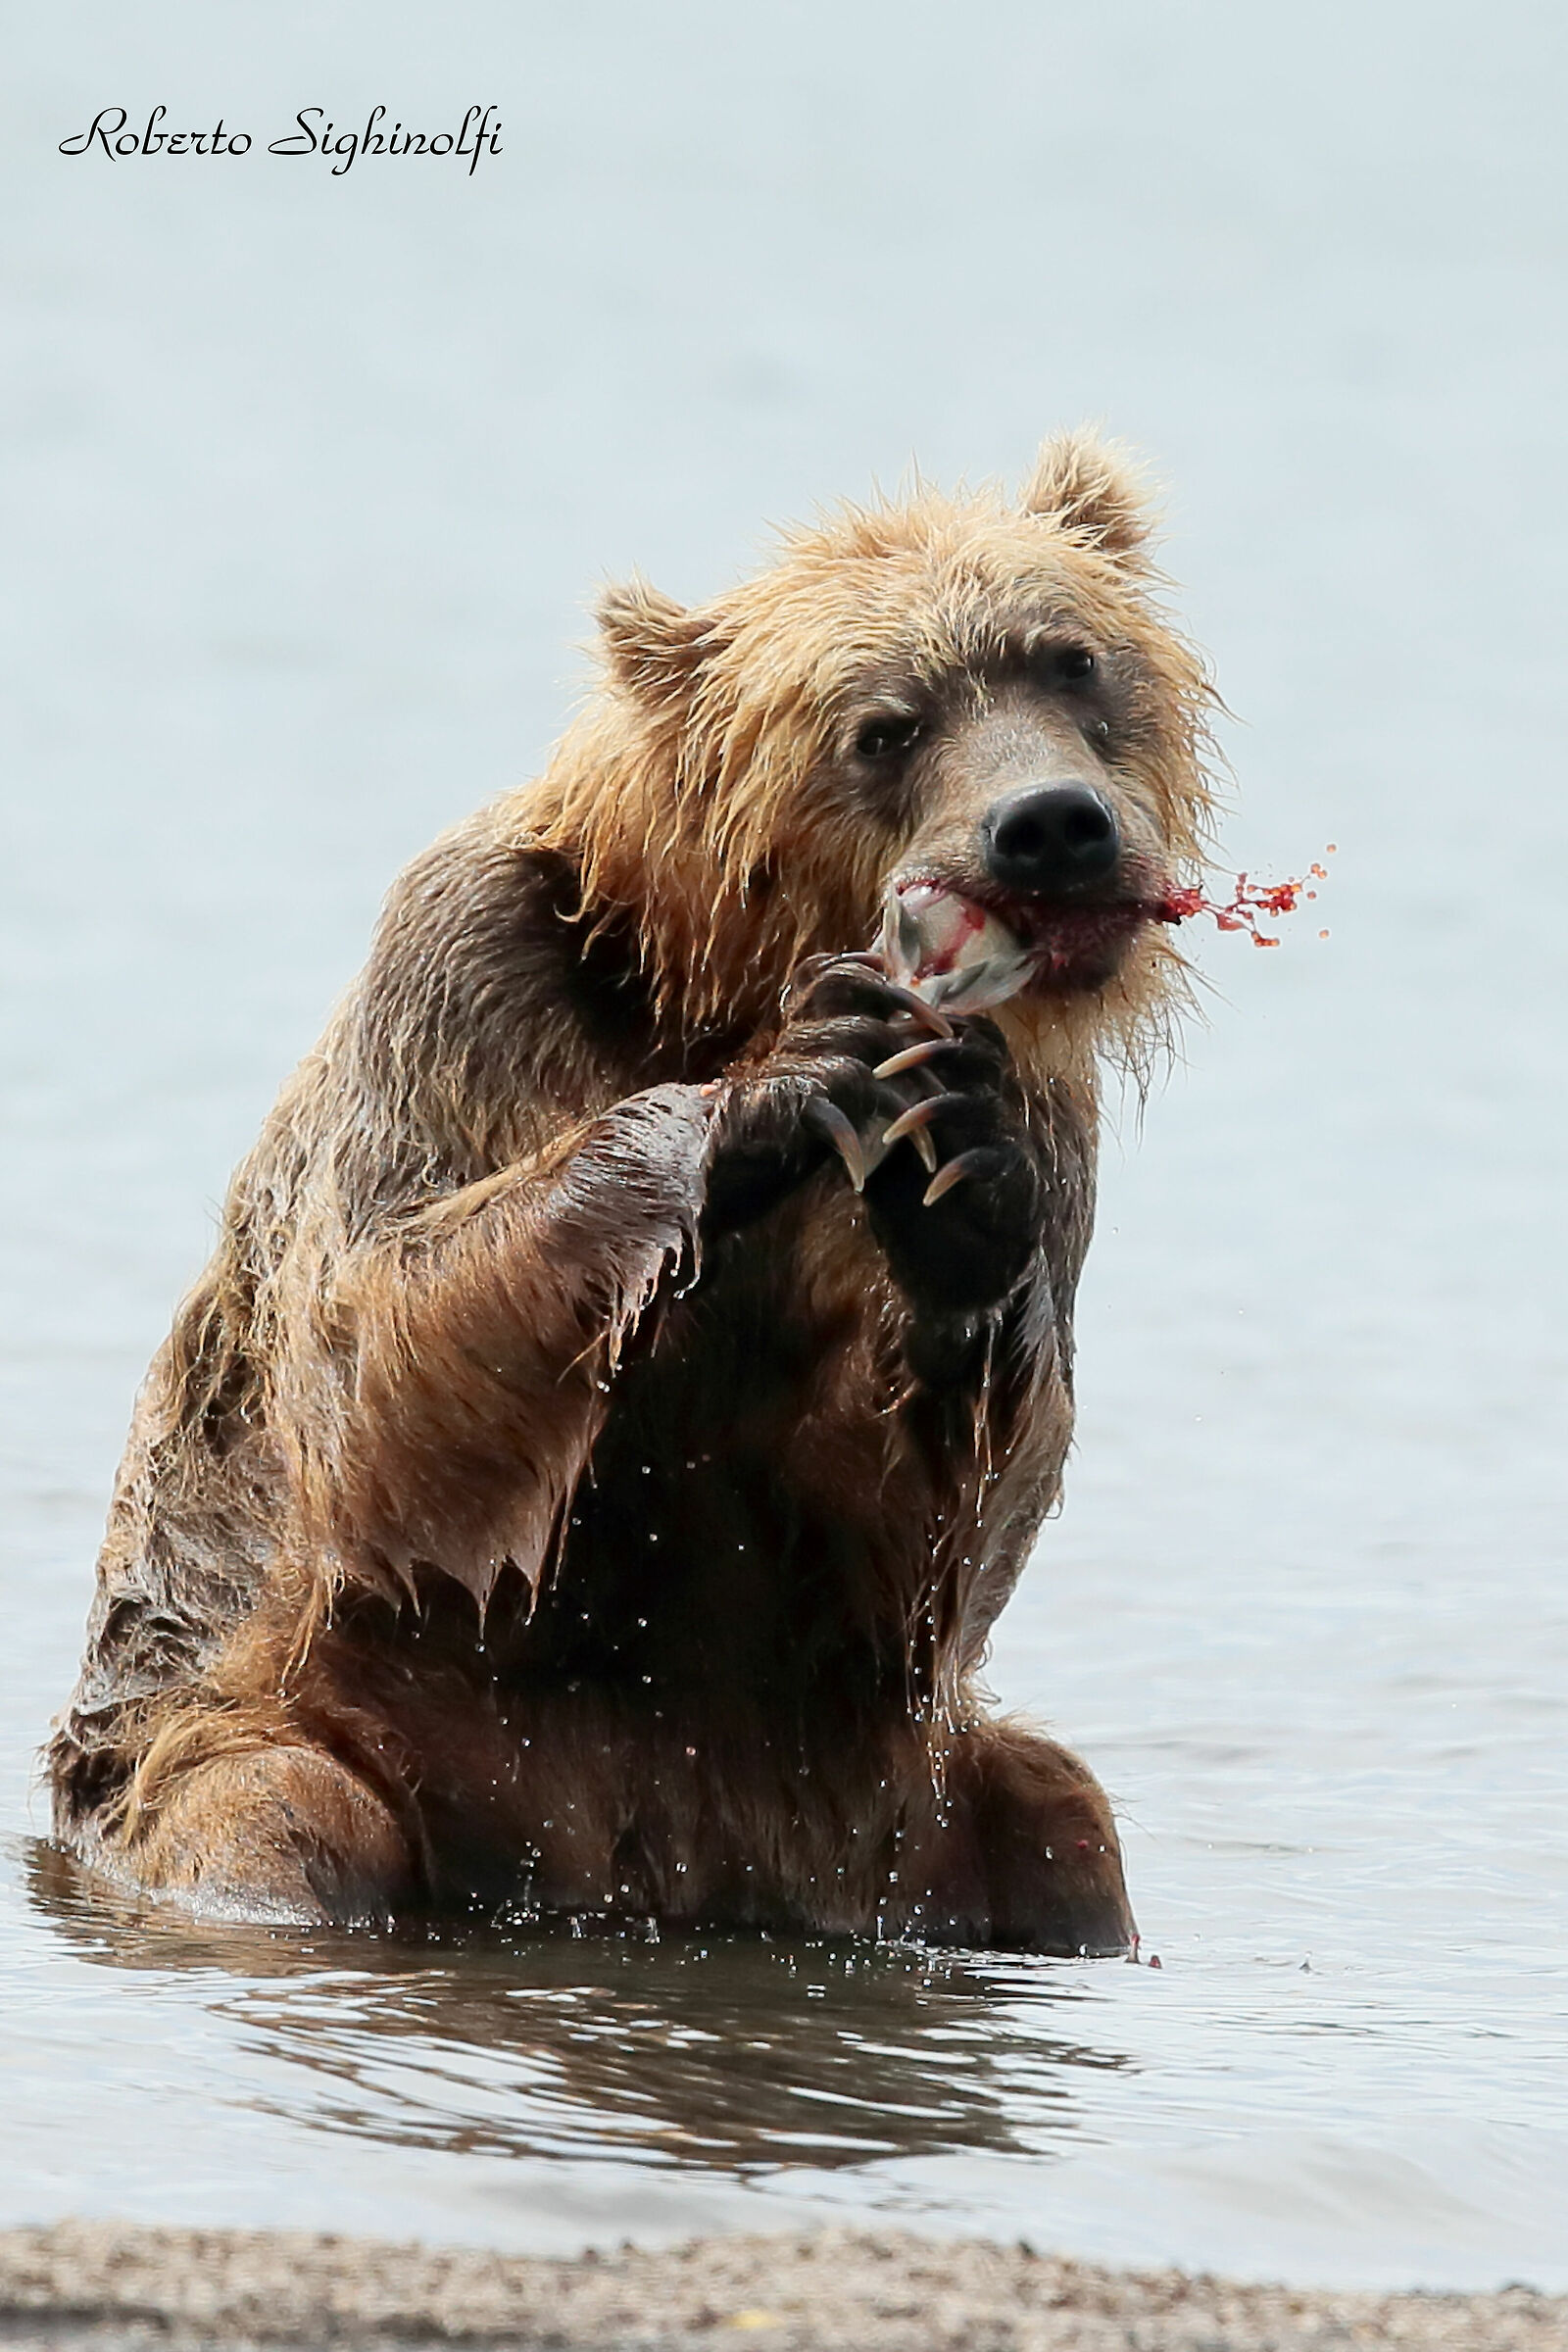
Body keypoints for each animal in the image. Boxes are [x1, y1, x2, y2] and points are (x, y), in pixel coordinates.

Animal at [47, 432, 1213, 1950]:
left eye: (1071, 660)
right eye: (884, 724)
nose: (1053, 826)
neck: (703, 963)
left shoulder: (1044, 1095)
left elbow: (930, 1533)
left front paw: (955, 1198)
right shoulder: (472, 977)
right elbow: (376, 1365)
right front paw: (771, 1093)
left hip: (885, 1814)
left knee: (1063, 1826)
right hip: (305, 1727)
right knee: (278, 1819)